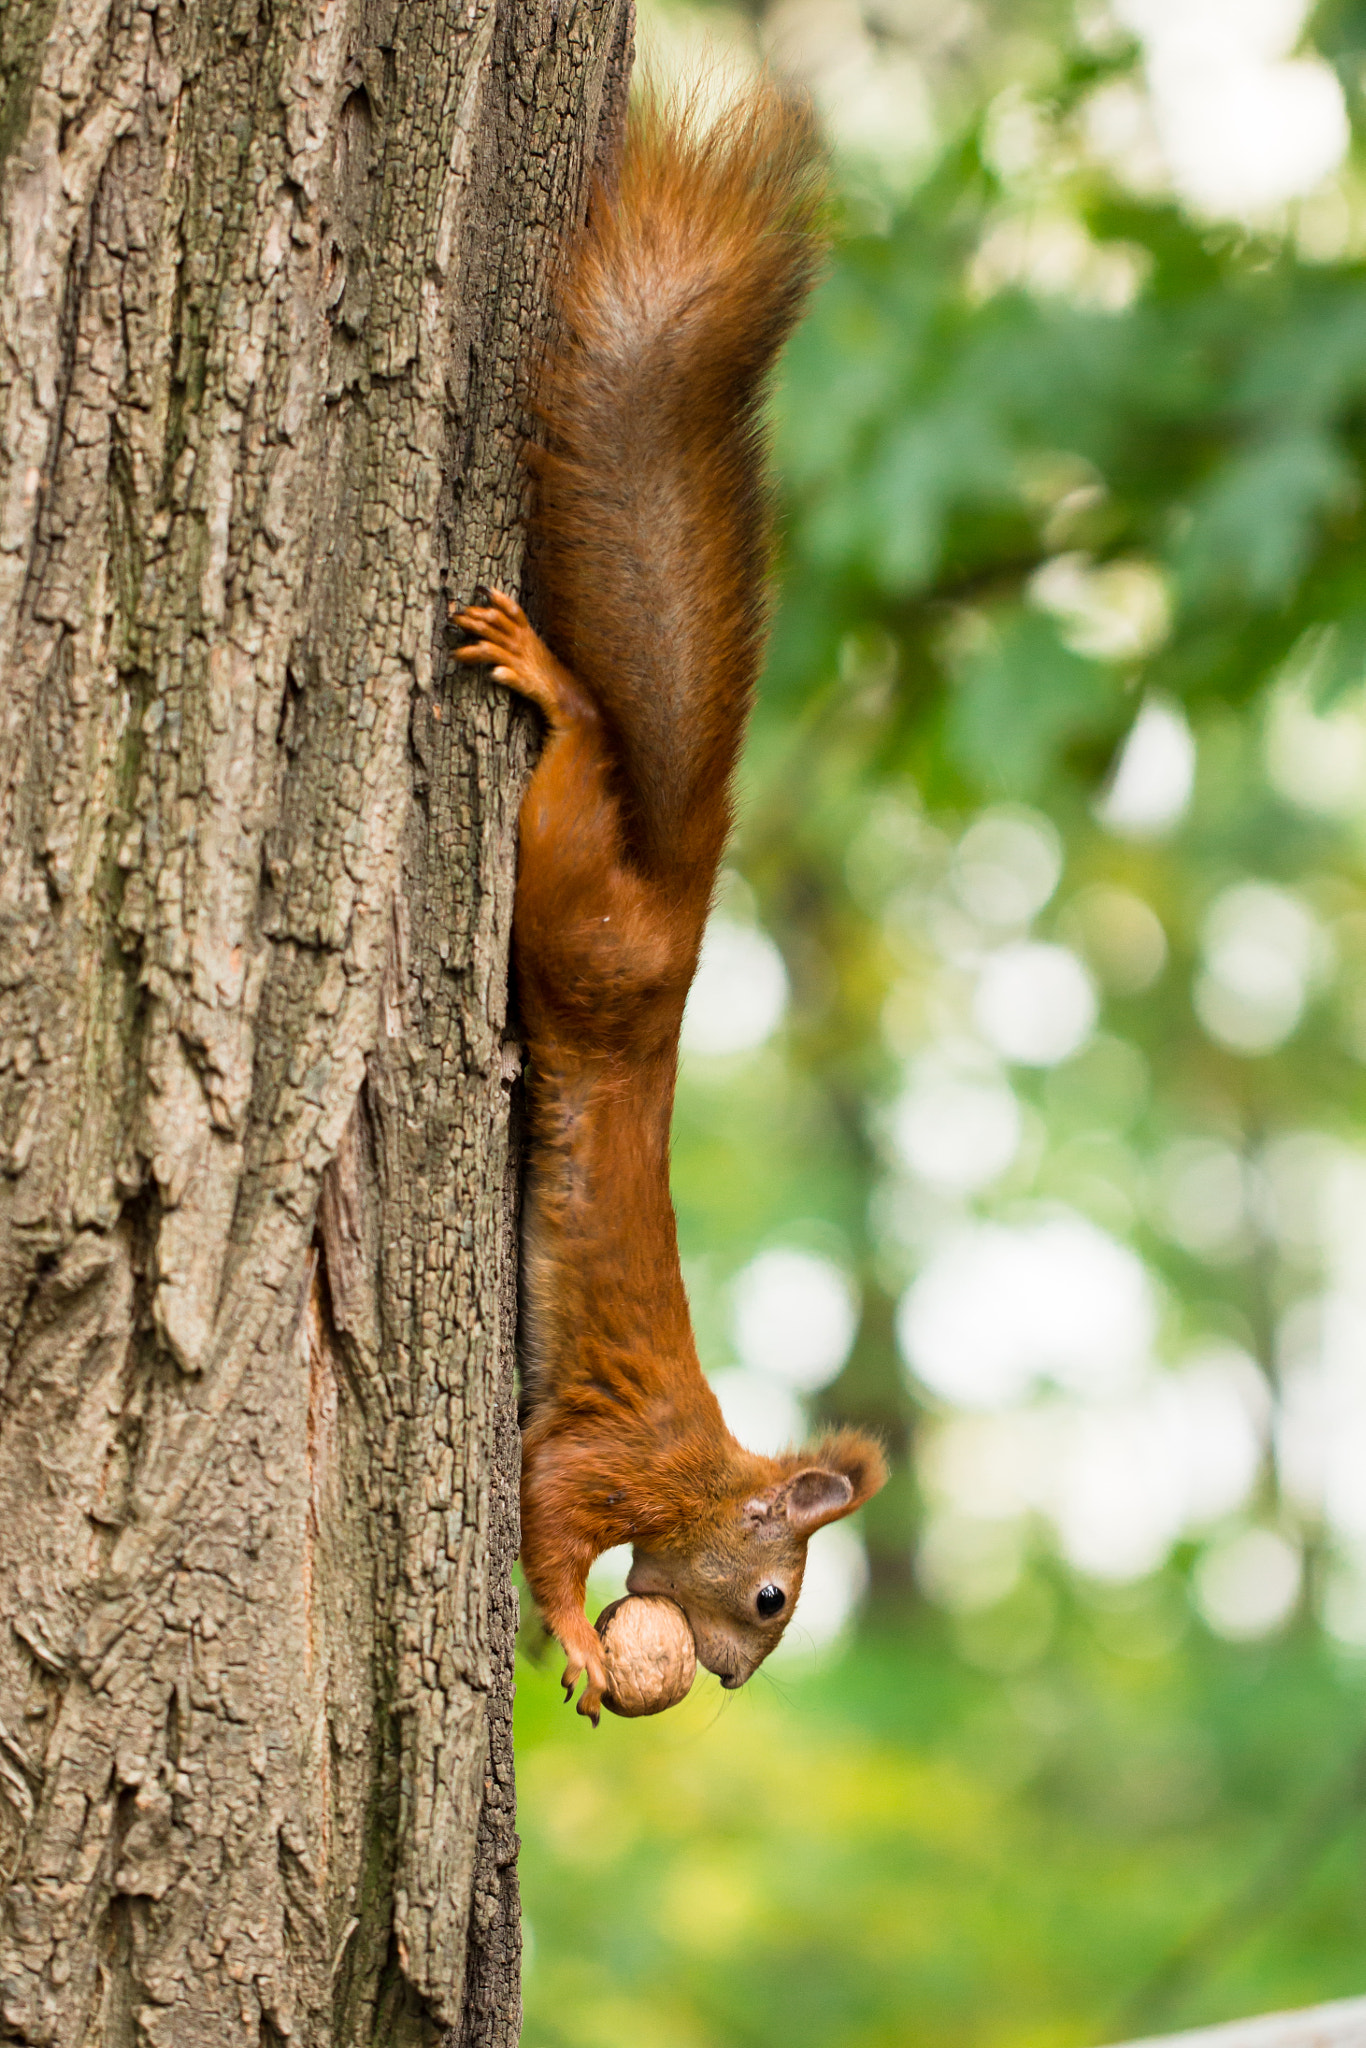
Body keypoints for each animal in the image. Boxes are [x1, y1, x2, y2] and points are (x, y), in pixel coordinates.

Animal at [454, 79, 892, 1720]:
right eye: (770, 1595)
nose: (738, 1679)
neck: (707, 1473)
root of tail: (685, 920)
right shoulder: (608, 1458)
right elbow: (538, 1510)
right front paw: (579, 1639)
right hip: (580, 906)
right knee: (580, 750)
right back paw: (548, 679)